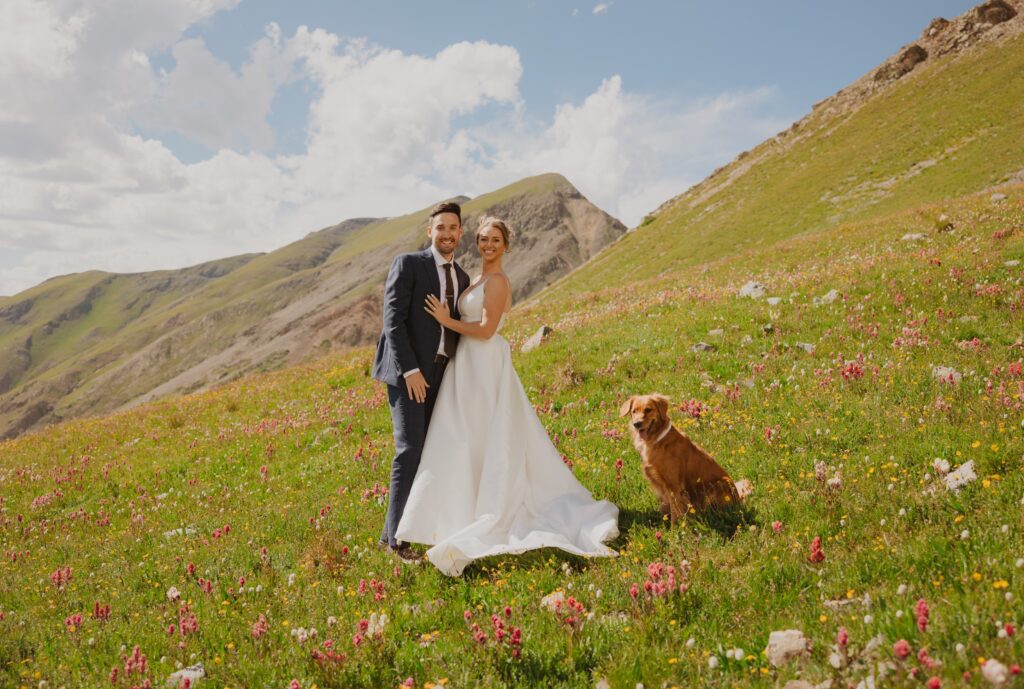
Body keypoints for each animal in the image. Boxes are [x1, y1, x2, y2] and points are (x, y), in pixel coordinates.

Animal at [614, 393, 753, 522]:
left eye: (648, 409)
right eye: (634, 411)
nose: (637, 424)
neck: (658, 440)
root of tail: (739, 499)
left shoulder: (673, 486)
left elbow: (676, 512)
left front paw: (676, 530)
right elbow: (665, 508)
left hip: (718, 484)